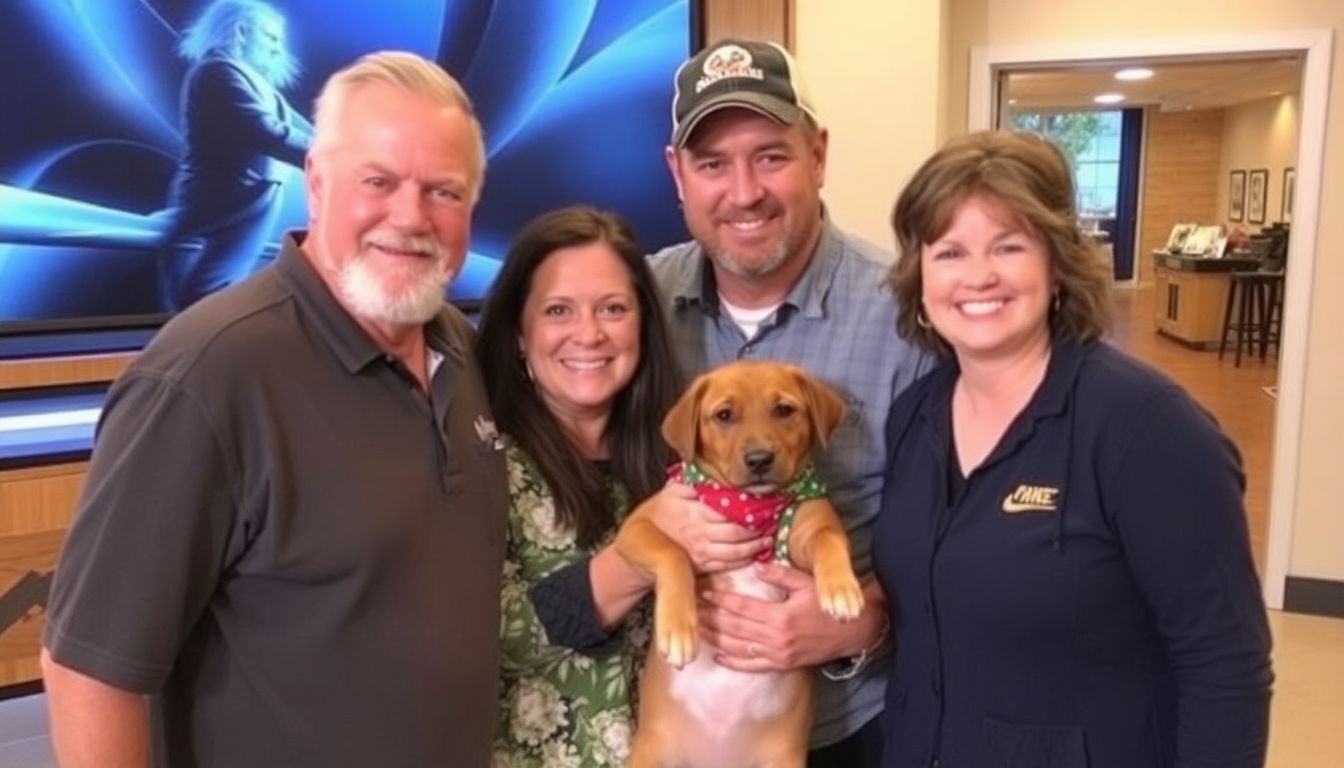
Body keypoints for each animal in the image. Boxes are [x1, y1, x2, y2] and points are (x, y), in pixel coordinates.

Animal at [615, 363, 865, 768]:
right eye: (724, 416)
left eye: (784, 410)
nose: (760, 459)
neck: (750, 506)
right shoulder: (638, 527)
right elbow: (673, 553)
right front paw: (678, 629)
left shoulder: (811, 526)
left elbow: (829, 540)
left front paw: (841, 590)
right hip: (650, 754)